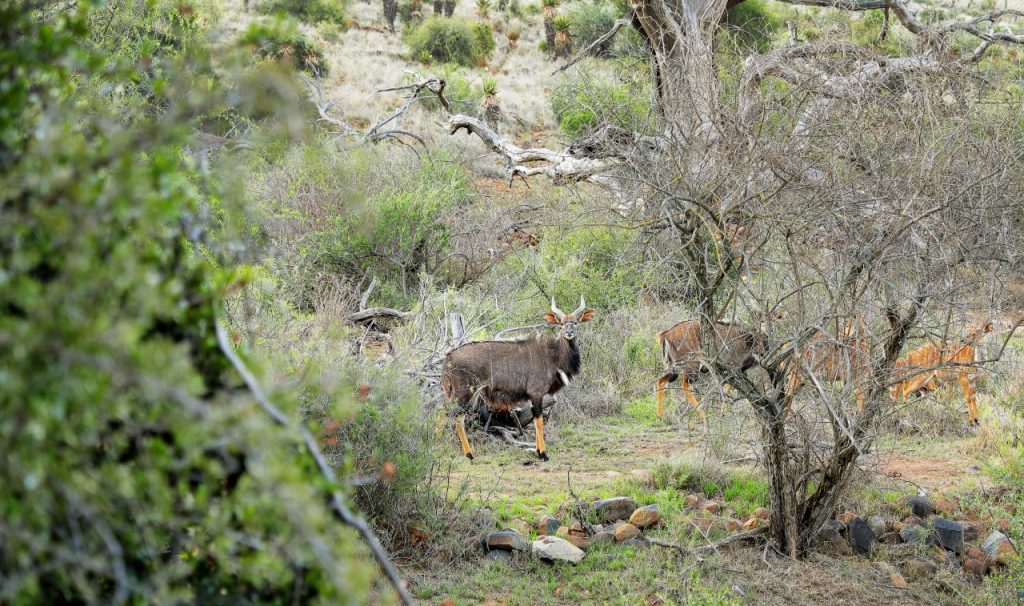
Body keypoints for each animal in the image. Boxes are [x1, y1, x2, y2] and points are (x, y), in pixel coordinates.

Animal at [441, 297, 594, 460]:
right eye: (561, 324)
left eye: (576, 322)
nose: (569, 333)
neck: (552, 355)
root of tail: (448, 357)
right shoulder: (536, 393)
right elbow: (539, 420)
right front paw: (543, 454)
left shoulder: (534, 396)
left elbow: (535, 419)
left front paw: (537, 451)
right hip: (464, 395)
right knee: (455, 418)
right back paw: (467, 454)